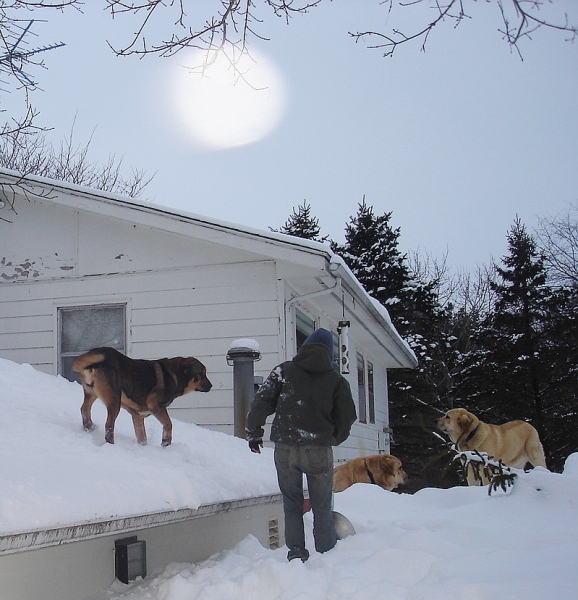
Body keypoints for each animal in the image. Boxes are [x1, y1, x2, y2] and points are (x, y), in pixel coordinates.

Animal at [72, 346, 212, 446]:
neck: (176, 375)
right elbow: (168, 424)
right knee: (109, 425)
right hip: (115, 402)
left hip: (91, 393)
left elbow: (142, 437)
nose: (211, 386)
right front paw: (165, 442)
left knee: (84, 409)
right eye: (201, 373)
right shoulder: (156, 406)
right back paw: (110, 444)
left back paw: (89, 427)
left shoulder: (137, 416)